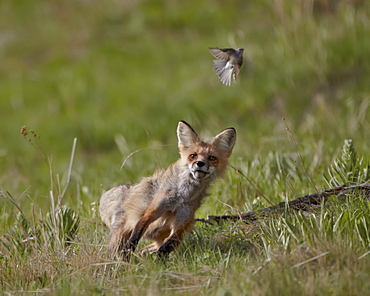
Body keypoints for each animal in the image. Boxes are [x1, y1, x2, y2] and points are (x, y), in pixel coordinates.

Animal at [99, 120, 237, 260]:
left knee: (149, 248)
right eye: (193, 156)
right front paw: (129, 251)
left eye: (212, 158)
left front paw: (159, 260)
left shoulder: (181, 223)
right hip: (121, 235)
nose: (200, 163)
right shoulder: (153, 210)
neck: (182, 196)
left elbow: (168, 245)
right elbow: (137, 231)